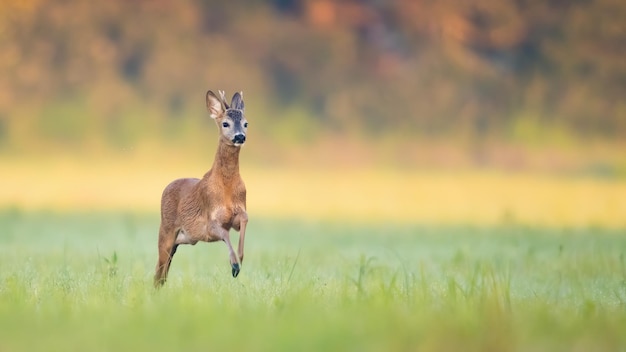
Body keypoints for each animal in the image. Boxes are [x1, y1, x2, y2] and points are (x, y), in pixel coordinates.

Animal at [152, 89, 247, 288]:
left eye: (245, 123)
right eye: (225, 123)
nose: (240, 136)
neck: (227, 188)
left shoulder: (237, 213)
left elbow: (244, 219)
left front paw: (241, 258)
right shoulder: (210, 222)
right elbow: (224, 233)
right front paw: (234, 265)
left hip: (182, 239)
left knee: (163, 271)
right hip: (166, 228)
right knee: (159, 270)